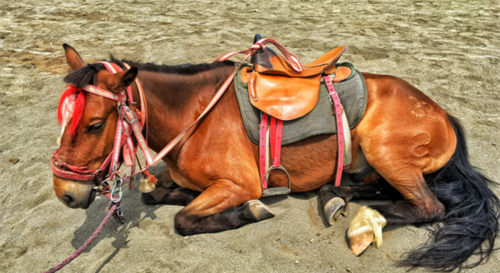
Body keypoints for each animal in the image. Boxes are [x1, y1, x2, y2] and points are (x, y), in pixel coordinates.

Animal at [51, 42, 500, 270]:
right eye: (64, 116)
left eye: (95, 124)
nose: (65, 194)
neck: (195, 114)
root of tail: (442, 113)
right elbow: (156, 193)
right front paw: (175, 193)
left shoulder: (239, 183)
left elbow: (185, 219)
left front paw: (248, 211)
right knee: (375, 188)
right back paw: (335, 196)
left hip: (384, 149)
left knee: (428, 205)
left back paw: (363, 222)